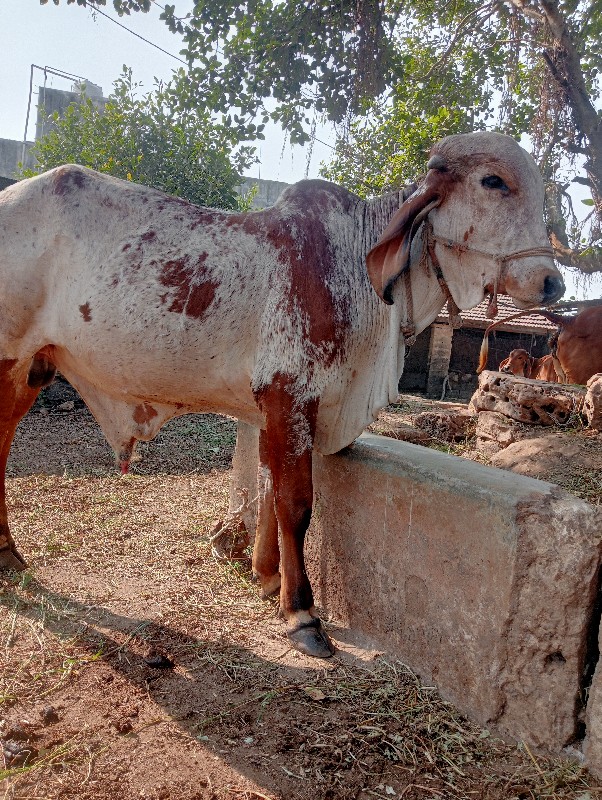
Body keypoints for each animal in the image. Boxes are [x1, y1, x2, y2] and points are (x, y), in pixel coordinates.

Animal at [0, 131, 564, 656]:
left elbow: (269, 489)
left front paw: (267, 576)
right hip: (9, 359)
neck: (354, 263)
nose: (552, 282)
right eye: (493, 181)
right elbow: (295, 502)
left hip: (34, 368)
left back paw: (9, 556)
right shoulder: (290, 395)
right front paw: (301, 612)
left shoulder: (272, 409)